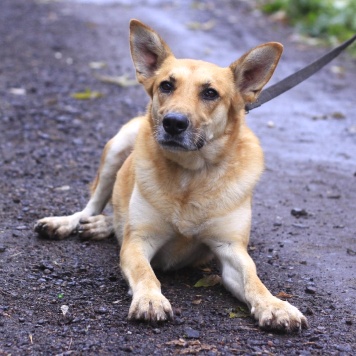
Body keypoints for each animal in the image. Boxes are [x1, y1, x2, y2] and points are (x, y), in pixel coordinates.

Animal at [34, 18, 308, 330]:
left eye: (210, 93)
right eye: (166, 85)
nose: (173, 123)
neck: (191, 173)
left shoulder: (231, 250)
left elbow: (254, 280)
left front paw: (274, 305)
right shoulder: (138, 243)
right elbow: (145, 273)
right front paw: (150, 299)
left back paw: (103, 225)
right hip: (118, 147)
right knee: (92, 205)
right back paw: (68, 223)